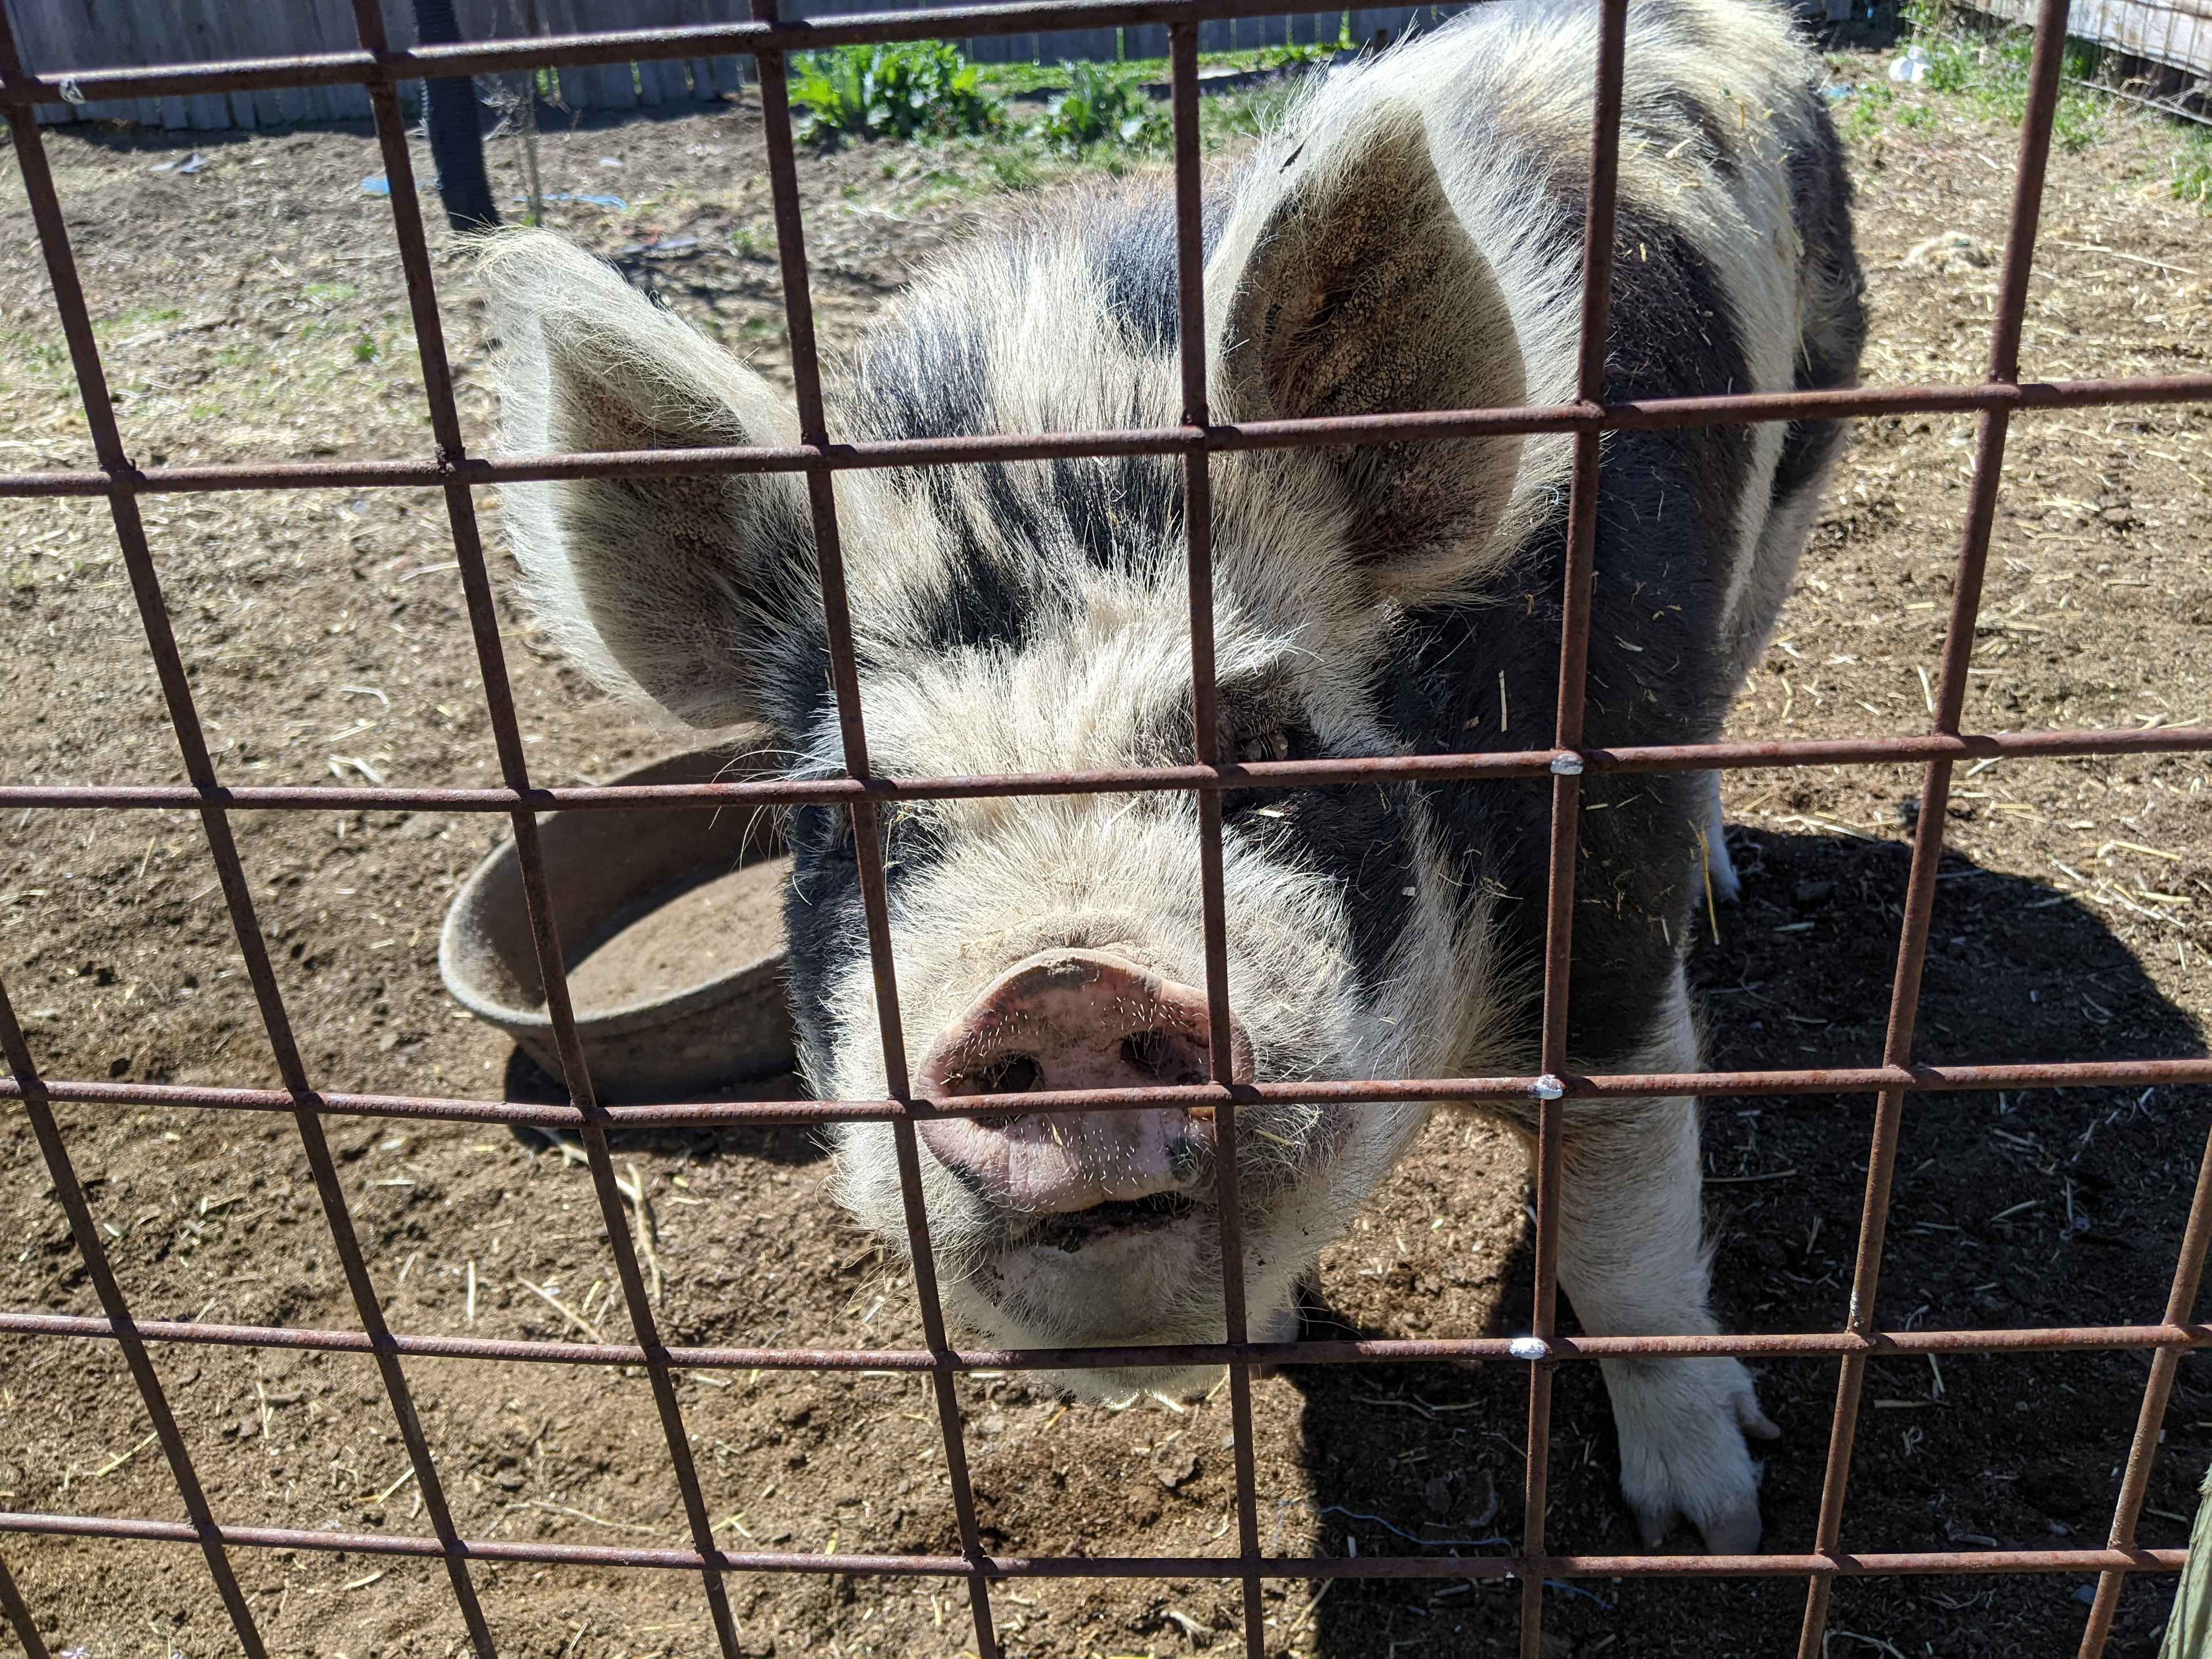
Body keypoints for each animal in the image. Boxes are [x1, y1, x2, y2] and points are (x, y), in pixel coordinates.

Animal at [479, 0, 1864, 1554]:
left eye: (1259, 743)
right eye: (845, 825)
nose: (1060, 987)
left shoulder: (1605, 932)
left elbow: (1625, 1229)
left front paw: (1705, 1527)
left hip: (1805, 460)